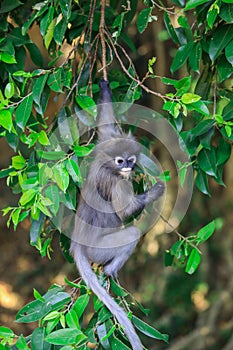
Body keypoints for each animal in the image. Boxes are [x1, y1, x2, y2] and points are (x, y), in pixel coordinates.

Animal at [70, 79, 165, 350]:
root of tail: (77, 245)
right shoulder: (117, 182)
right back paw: (110, 271)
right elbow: (126, 212)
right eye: (120, 161)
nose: (128, 168)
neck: (109, 165)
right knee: (131, 232)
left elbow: (106, 125)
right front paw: (157, 191)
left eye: (130, 160)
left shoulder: (107, 142)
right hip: (99, 250)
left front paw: (104, 88)